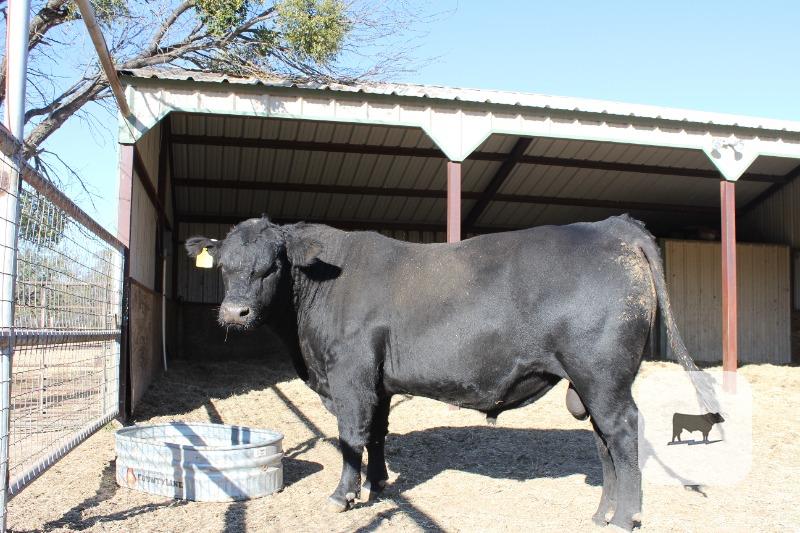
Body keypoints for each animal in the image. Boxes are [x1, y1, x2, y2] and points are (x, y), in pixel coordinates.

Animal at [185, 214, 707, 531]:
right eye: (224, 266)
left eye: (271, 266)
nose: (234, 313)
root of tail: (611, 226)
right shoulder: (380, 381)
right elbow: (378, 433)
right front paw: (378, 484)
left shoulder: (350, 374)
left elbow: (351, 436)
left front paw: (343, 495)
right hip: (591, 383)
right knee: (604, 443)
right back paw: (601, 514)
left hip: (604, 376)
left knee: (623, 433)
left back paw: (625, 517)